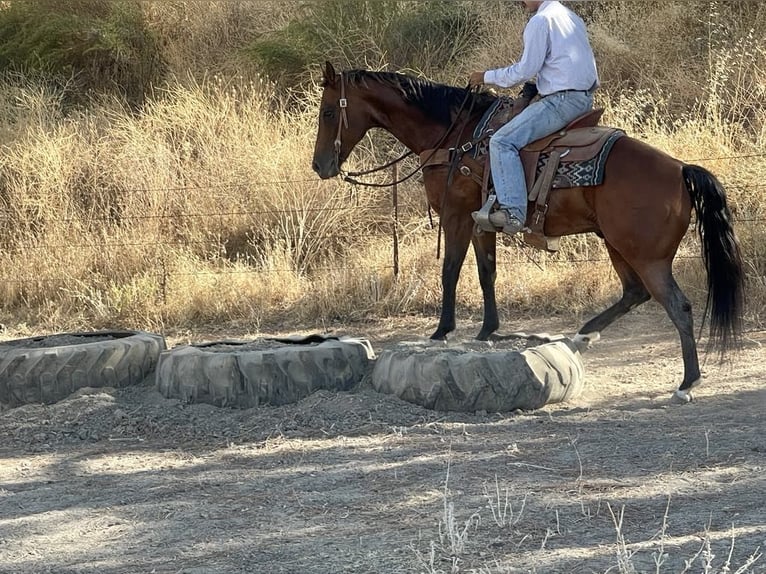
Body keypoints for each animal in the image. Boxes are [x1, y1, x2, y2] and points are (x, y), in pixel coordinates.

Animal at [310, 63, 744, 402]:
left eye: (329, 111)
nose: (320, 165)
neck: (456, 137)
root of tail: (680, 169)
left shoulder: (457, 215)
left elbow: (450, 270)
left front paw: (441, 331)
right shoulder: (481, 221)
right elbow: (486, 273)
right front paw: (488, 330)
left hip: (644, 254)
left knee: (677, 306)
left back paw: (687, 382)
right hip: (616, 244)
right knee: (634, 293)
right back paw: (581, 337)